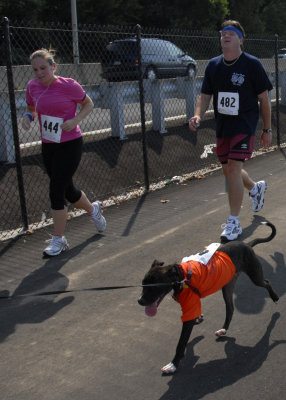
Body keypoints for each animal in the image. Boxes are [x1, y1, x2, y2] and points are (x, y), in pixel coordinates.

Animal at [137, 222, 278, 376]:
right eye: (143, 284)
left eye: (154, 287)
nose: (140, 301)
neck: (181, 277)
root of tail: (247, 245)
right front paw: (199, 319)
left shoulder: (188, 315)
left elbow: (181, 343)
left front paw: (173, 365)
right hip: (227, 287)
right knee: (230, 309)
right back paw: (223, 330)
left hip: (254, 275)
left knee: (266, 282)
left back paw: (275, 297)